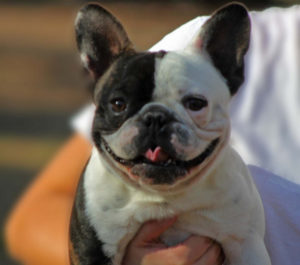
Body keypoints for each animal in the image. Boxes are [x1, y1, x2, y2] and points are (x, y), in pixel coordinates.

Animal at [69, 2, 270, 264]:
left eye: (195, 104)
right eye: (118, 104)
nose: (156, 117)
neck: (164, 197)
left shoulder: (246, 242)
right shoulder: (93, 248)